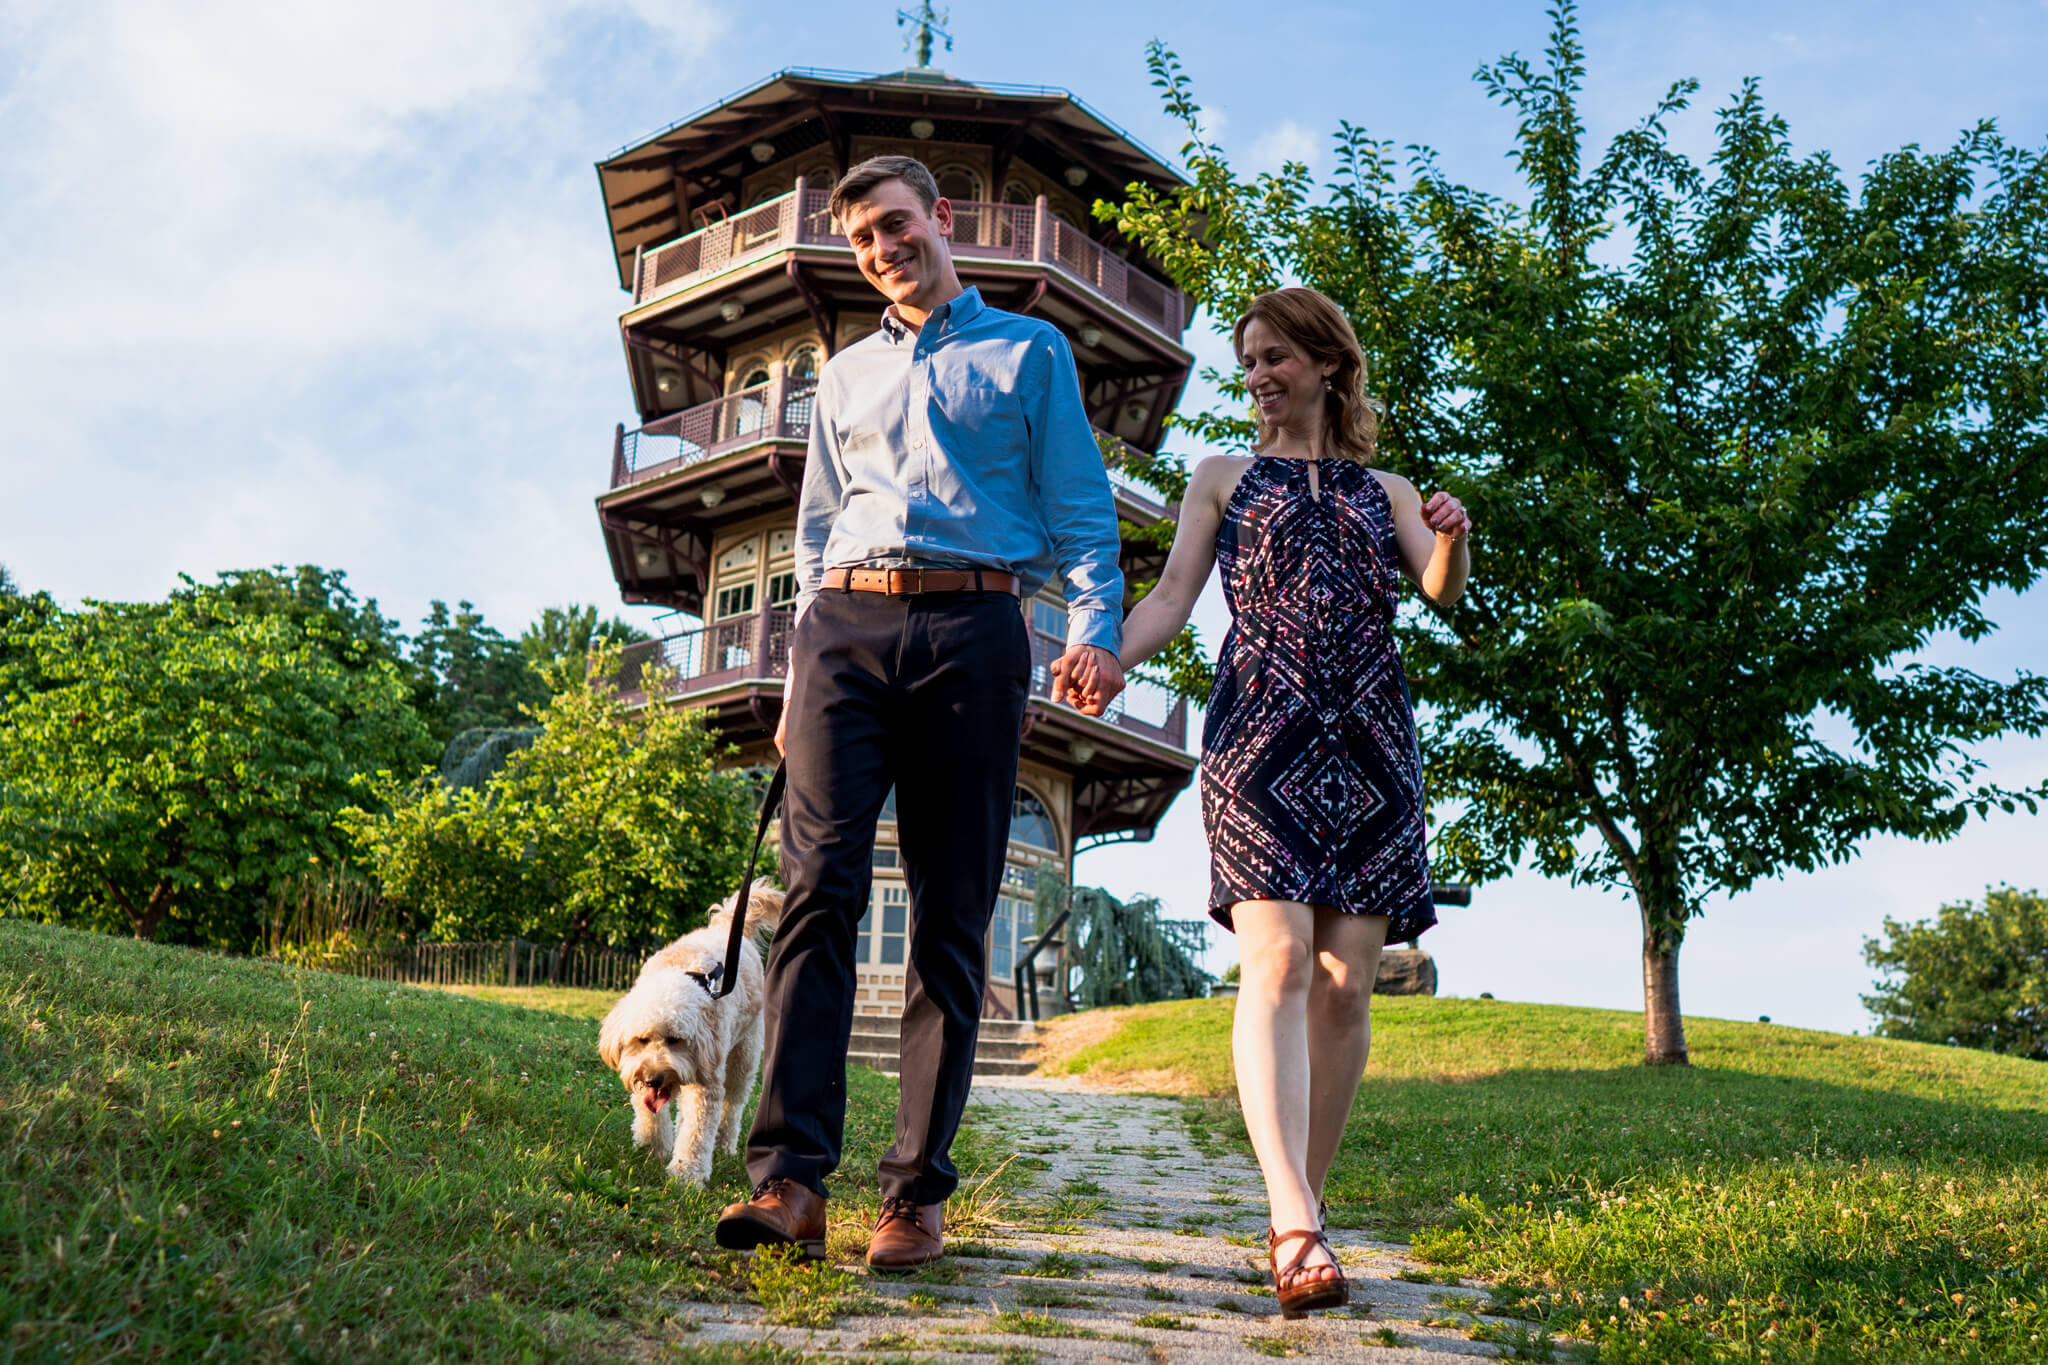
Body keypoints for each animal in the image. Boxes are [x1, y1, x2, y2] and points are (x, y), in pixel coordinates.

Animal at [598, 888, 782, 1186]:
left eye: (676, 1040)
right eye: (641, 1040)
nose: (654, 1078)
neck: (683, 975)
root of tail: (727, 927)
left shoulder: (707, 1081)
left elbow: (697, 1131)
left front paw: (687, 1174)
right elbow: (650, 1115)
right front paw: (652, 1148)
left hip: (744, 1054)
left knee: (732, 1105)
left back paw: (723, 1145)